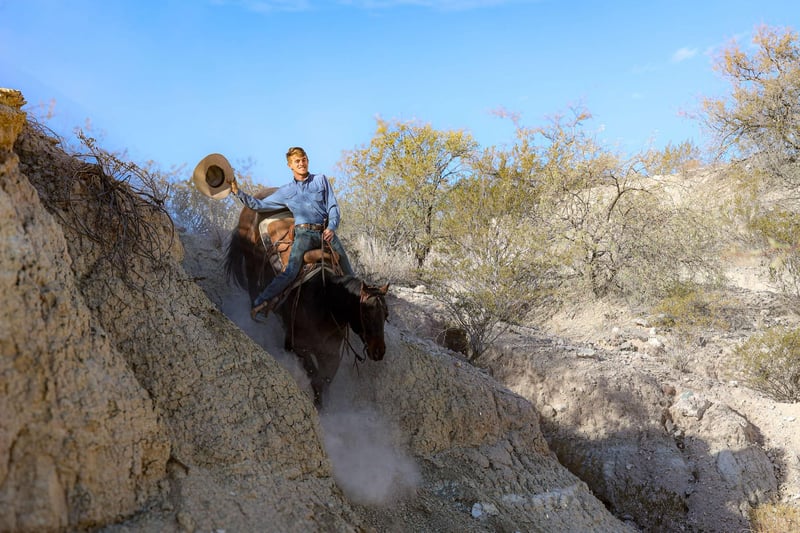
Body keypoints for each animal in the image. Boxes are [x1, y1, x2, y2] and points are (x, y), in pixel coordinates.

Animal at [224, 189, 389, 407]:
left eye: (386, 315)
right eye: (367, 315)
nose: (379, 351)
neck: (325, 302)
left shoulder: (330, 353)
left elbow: (324, 379)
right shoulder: (298, 345)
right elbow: (313, 372)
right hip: (250, 263)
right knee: (253, 289)